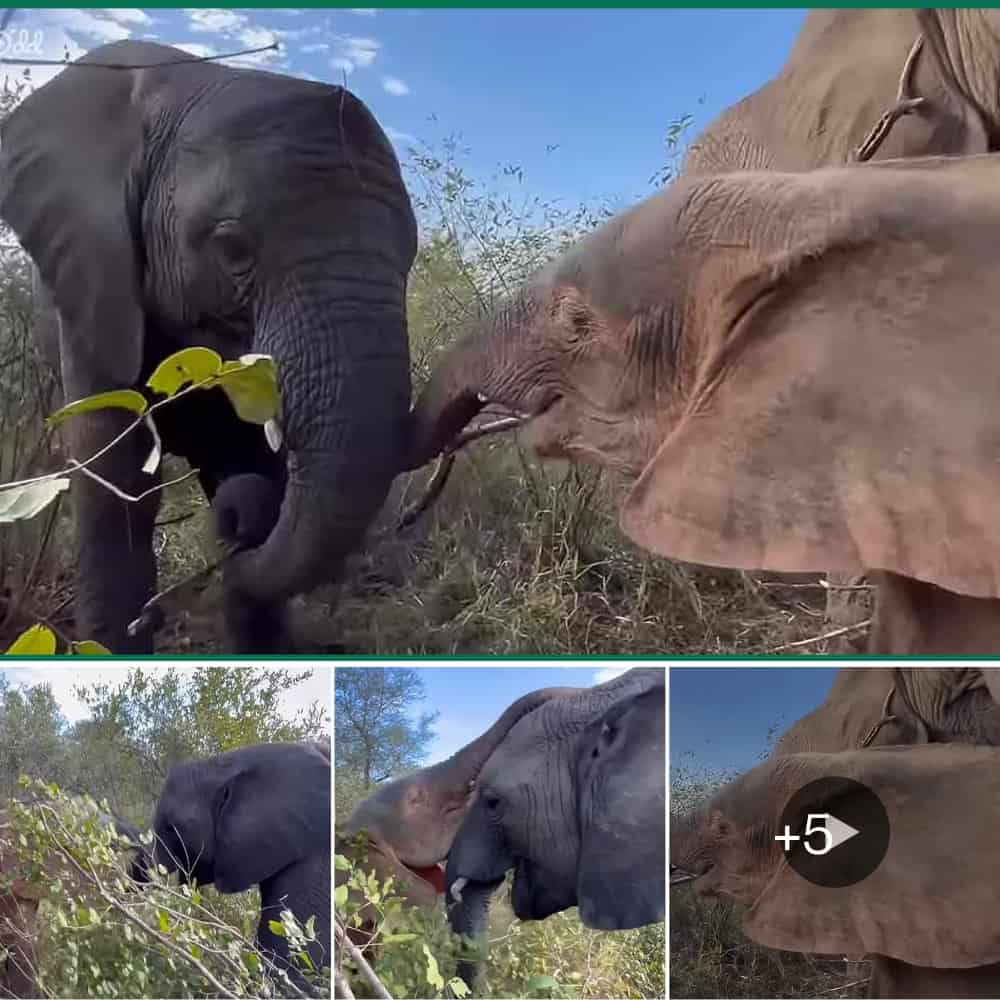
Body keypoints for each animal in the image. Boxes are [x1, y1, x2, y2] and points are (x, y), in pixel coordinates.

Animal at [0, 40, 418, 654]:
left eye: (410, 254)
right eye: (232, 247)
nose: (237, 528)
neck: (187, 86)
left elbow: (246, 458)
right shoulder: (92, 280)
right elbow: (116, 478)